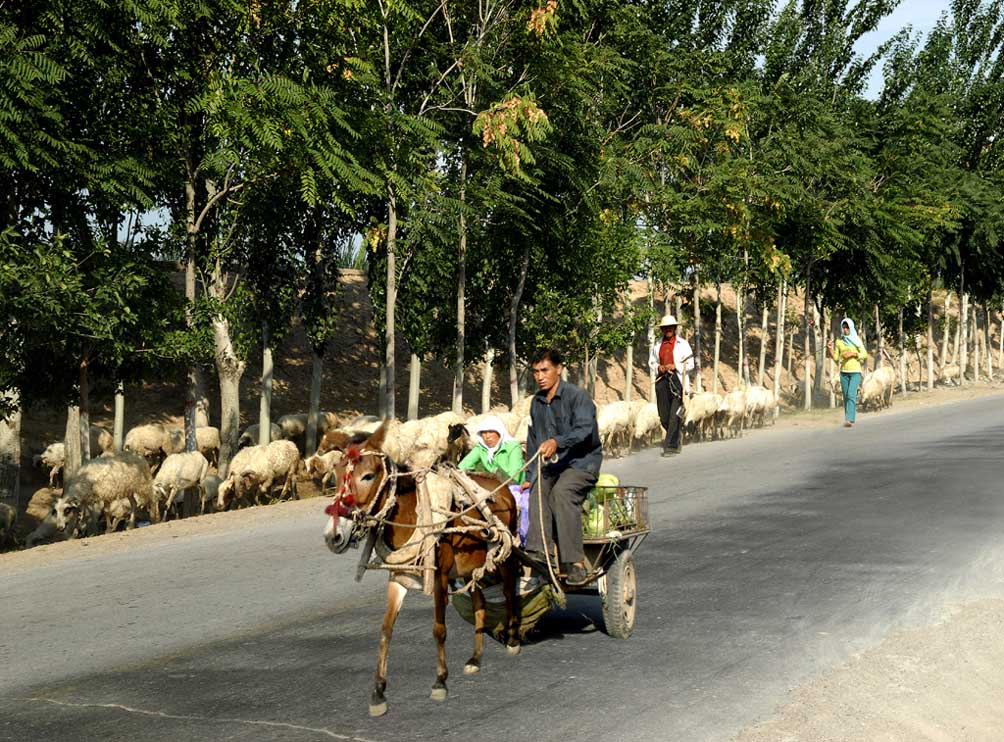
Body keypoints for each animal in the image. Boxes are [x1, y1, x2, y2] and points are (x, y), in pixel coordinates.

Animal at [323, 421, 526, 714]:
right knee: (480, 605)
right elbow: (385, 630)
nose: (333, 536)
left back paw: (512, 640)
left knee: (510, 593)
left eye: (368, 476)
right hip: (470, 568)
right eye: (337, 474)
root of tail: (501, 486)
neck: (412, 516)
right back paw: (475, 658)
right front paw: (378, 692)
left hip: (505, 558)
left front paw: (440, 681)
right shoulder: (399, 578)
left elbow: (439, 629)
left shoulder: (439, 578)